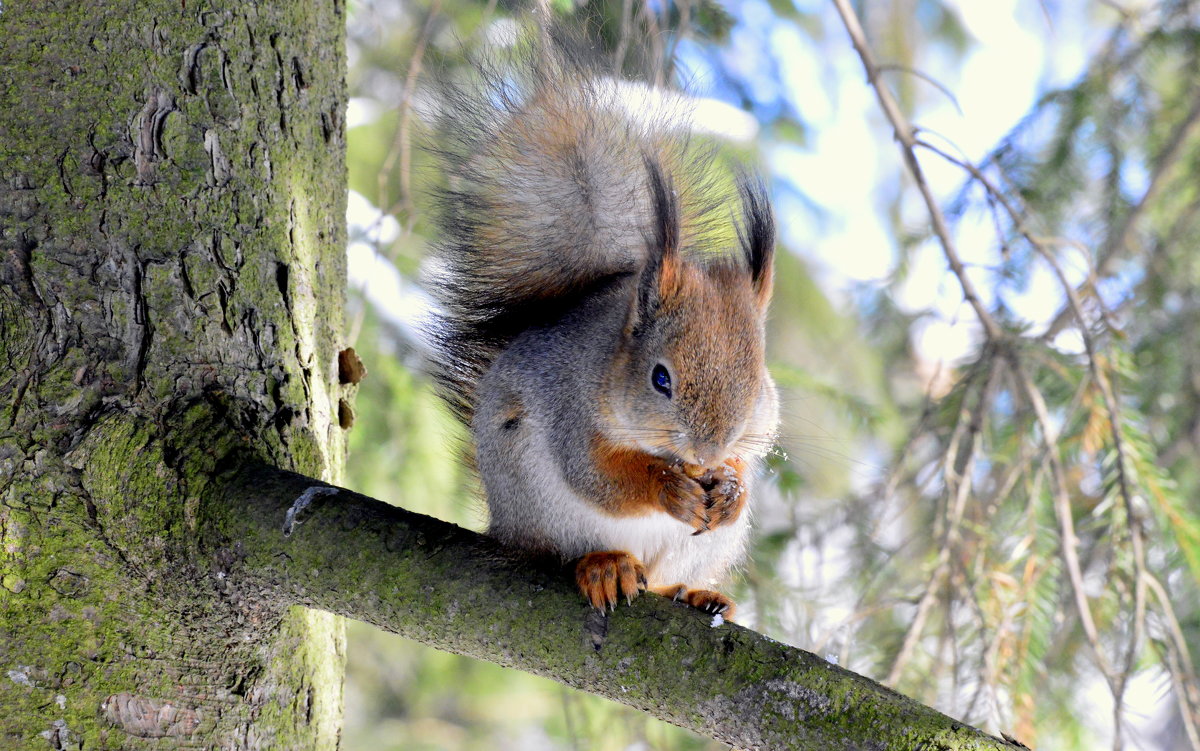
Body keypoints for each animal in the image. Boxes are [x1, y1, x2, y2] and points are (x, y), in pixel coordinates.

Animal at [422, 26, 777, 619]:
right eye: (660, 378)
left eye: (757, 388)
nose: (706, 454)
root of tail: (504, 526)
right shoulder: (569, 404)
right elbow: (596, 474)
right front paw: (668, 489)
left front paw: (732, 488)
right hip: (542, 506)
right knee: (569, 548)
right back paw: (605, 565)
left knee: (663, 578)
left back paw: (691, 592)